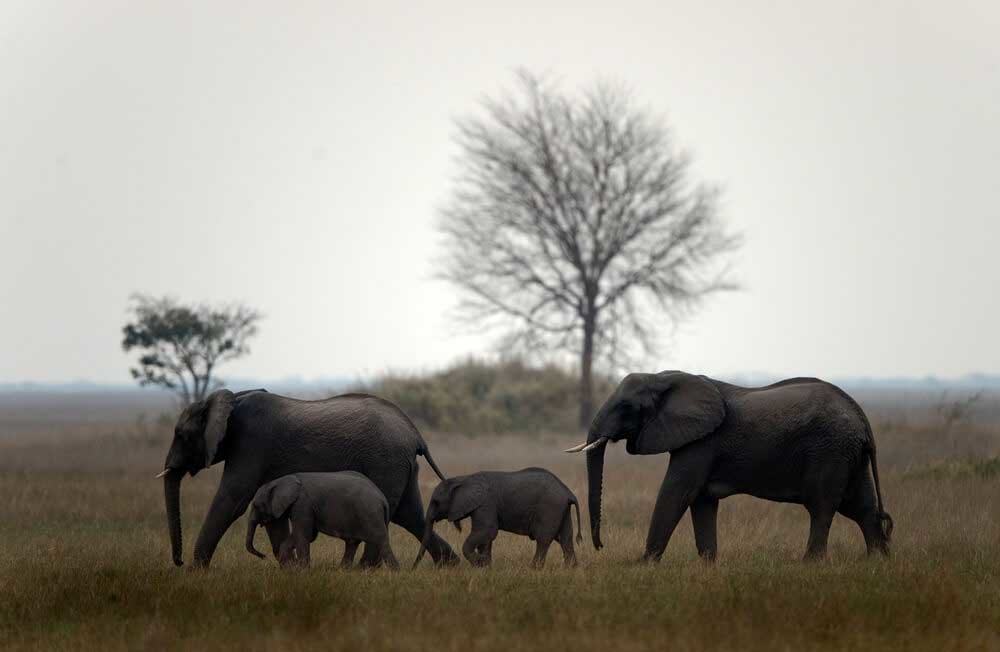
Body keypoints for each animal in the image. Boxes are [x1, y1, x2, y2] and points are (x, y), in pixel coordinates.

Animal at [246, 471, 399, 569]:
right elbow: (308, 535)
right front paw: (291, 569)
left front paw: (302, 571)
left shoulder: (303, 504)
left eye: (256, 505)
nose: (263, 556)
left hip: (370, 514)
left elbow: (303, 535)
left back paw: (395, 572)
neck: (281, 480)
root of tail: (383, 499)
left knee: (381, 541)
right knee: (352, 543)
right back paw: (343, 570)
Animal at [412, 467, 583, 569]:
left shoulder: (485, 504)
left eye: (436, 502)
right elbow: (486, 537)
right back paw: (571, 569)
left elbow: (487, 531)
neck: (463, 479)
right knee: (565, 538)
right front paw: (485, 567)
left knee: (544, 539)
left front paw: (479, 563)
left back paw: (534, 568)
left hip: (550, 508)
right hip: (561, 510)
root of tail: (569, 493)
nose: (413, 569)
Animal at [567, 371, 893, 562]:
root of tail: (861, 416)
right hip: (848, 454)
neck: (664, 377)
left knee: (822, 507)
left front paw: (644, 566)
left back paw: (810, 564)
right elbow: (701, 501)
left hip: (829, 450)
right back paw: (878, 563)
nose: (598, 546)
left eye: (626, 407)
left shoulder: (702, 442)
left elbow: (677, 493)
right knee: (861, 506)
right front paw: (708, 565)